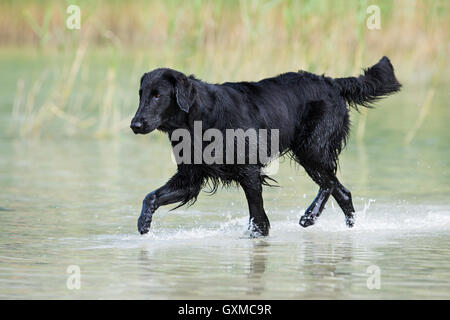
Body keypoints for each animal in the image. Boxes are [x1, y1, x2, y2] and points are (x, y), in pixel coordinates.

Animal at [131, 55, 400, 235]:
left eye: (158, 95)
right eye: (141, 94)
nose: (135, 124)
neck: (199, 118)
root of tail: (331, 83)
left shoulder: (248, 170)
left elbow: (256, 211)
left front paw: (258, 233)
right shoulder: (190, 176)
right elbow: (151, 196)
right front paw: (143, 223)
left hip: (311, 149)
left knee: (330, 183)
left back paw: (309, 216)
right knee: (342, 192)